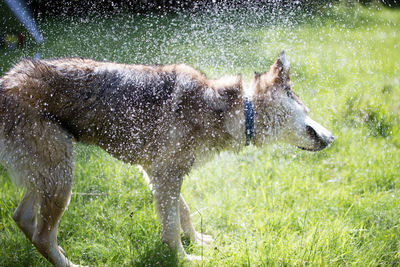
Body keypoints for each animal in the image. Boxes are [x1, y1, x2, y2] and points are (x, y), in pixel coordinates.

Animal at [0, 51, 332, 266]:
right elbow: (171, 228)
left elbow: (183, 213)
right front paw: (185, 259)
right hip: (62, 176)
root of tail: (7, 81)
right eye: (307, 110)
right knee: (44, 236)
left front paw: (197, 241)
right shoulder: (166, 176)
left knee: (23, 219)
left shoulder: (159, 174)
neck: (229, 109)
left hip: (48, 175)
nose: (332, 139)